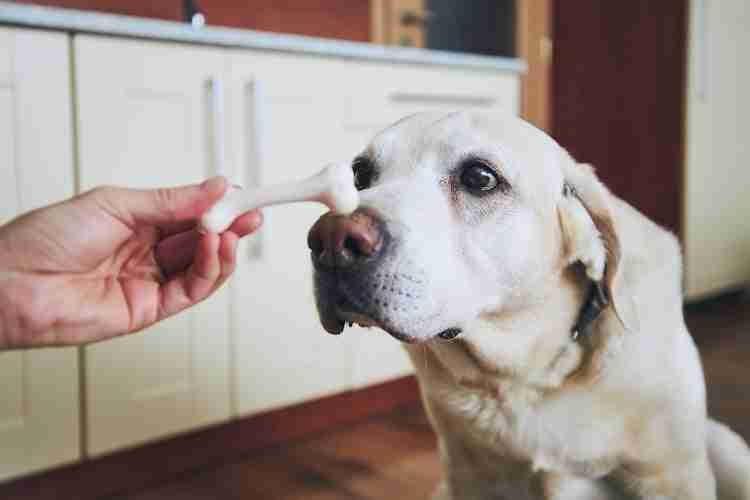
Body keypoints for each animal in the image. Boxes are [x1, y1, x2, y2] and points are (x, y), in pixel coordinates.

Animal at [306, 111, 750, 498]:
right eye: (360, 174)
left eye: (479, 177)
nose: (331, 240)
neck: (528, 375)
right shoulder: (469, 476)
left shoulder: (672, 476)